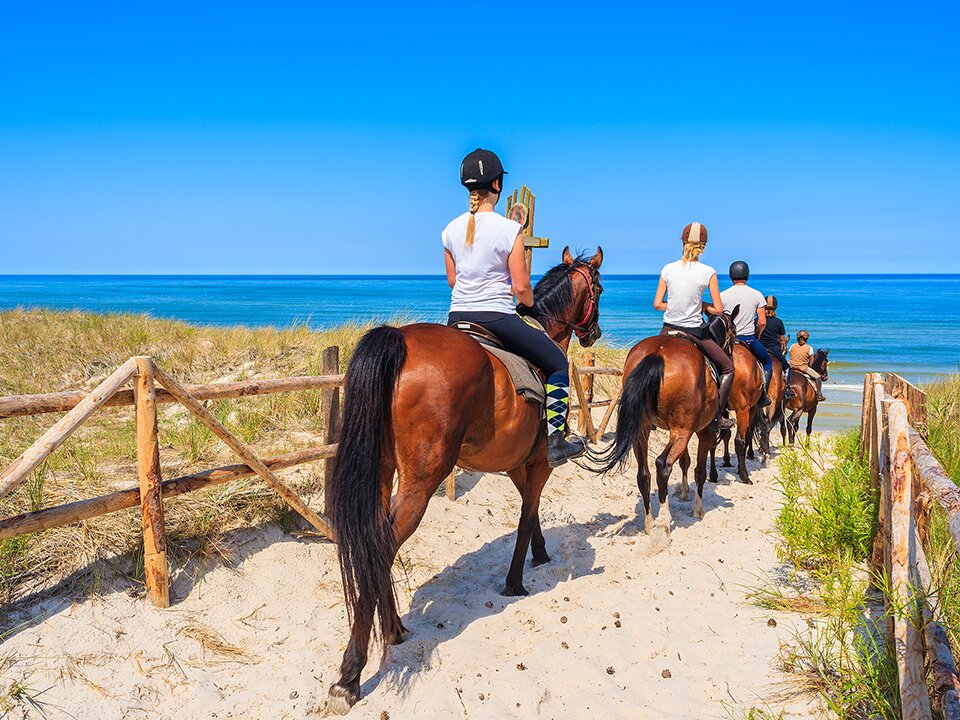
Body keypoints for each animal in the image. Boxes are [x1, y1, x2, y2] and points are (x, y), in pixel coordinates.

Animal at [326, 245, 604, 712]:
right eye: (599, 289)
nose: (594, 333)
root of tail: (400, 341)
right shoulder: (540, 463)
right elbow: (526, 517)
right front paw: (515, 582)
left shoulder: (517, 465)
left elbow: (532, 514)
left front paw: (540, 554)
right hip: (421, 481)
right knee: (383, 547)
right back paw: (349, 675)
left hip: (383, 474)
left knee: (375, 543)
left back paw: (394, 629)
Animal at [592, 310, 736, 536]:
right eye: (734, 334)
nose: (731, 355)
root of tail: (657, 354)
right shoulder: (703, 432)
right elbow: (699, 471)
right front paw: (698, 509)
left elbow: (685, 461)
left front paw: (684, 492)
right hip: (682, 431)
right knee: (662, 464)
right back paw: (664, 520)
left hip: (644, 429)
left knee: (644, 474)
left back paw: (649, 522)